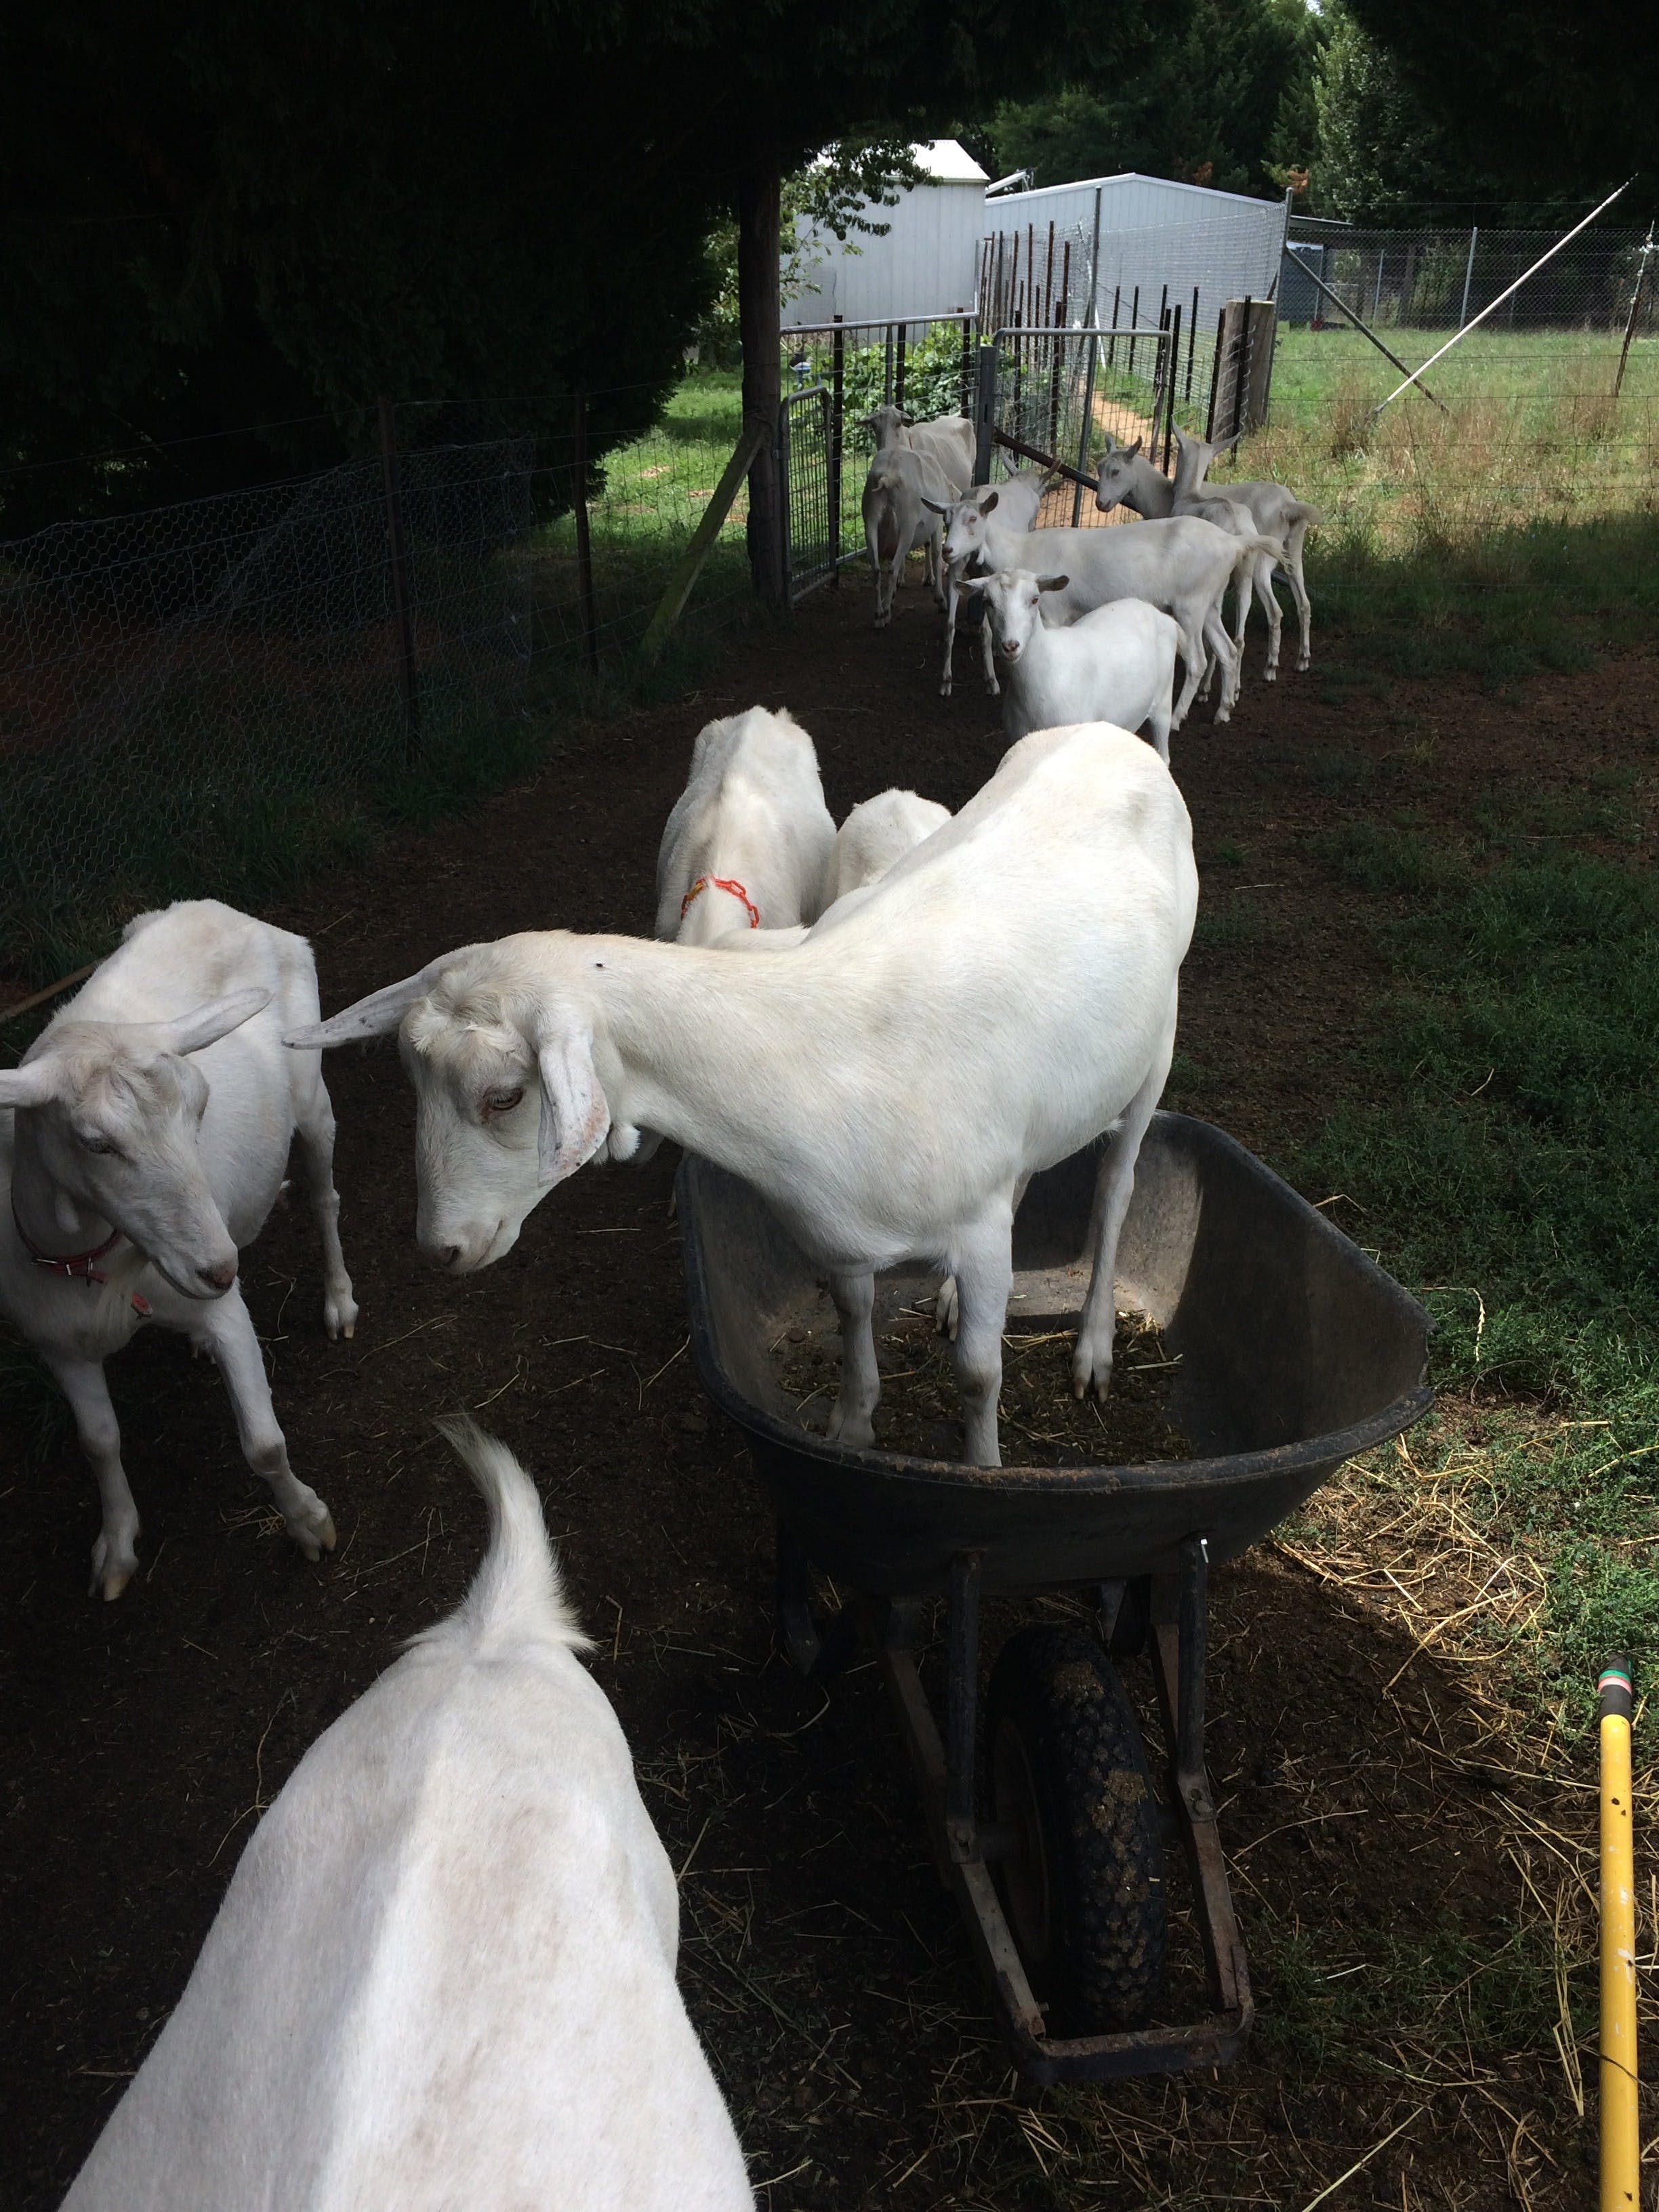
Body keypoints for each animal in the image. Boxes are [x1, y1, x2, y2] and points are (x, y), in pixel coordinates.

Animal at [0, 901, 351, 1598]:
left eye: (200, 1107)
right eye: (96, 1143)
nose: (218, 1268)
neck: (93, 1264)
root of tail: (214, 909)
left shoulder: (226, 1310)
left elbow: (264, 1443)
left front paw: (308, 1523)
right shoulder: (57, 1342)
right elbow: (99, 1441)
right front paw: (116, 1547)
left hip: (310, 1092)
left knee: (324, 1196)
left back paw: (338, 1300)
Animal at [935, 496, 1275, 728]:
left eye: (973, 519)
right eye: (946, 520)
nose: (947, 551)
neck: (1020, 550)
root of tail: (1233, 542)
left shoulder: (1053, 612)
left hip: (1190, 605)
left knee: (1198, 661)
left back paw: (1179, 716)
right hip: (1210, 603)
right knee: (1229, 650)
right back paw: (1224, 710)